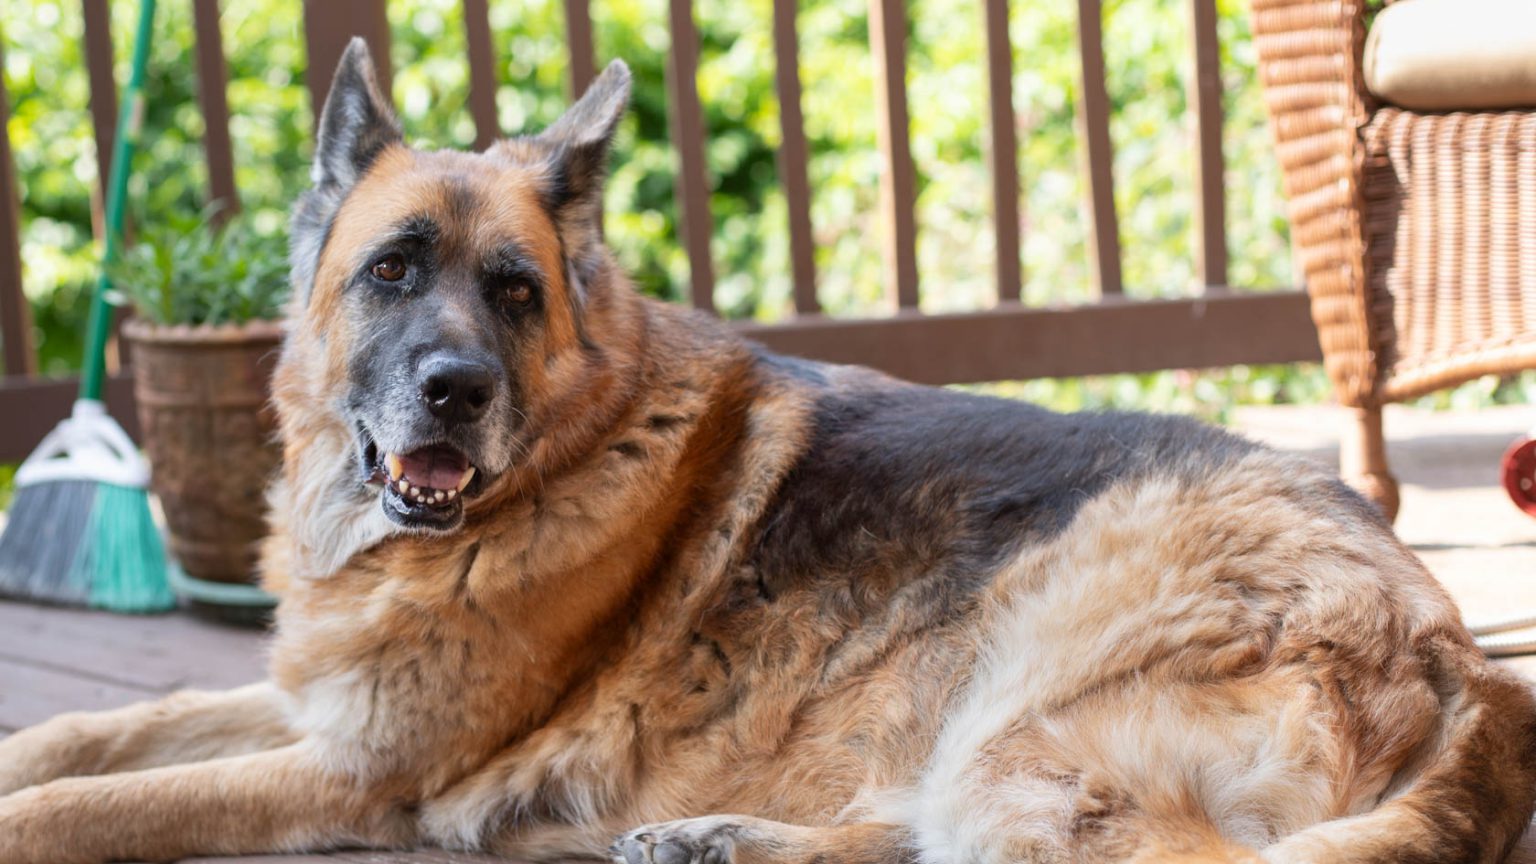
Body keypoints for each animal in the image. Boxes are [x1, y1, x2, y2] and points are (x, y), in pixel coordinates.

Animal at [3, 42, 1536, 860]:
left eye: (514, 291)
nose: (455, 393)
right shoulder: (316, 708)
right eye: (392, 270)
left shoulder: (356, 771)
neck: (569, 457)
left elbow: (108, 800)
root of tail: (1457, 654)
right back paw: (720, 837)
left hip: (1016, 717)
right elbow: (97, 735)